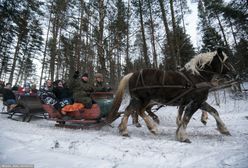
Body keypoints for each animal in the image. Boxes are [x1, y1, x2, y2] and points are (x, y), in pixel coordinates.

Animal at [107, 48, 235, 143]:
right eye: (226, 60)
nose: (234, 73)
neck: (197, 77)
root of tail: (133, 74)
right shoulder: (195, 102)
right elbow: (186, 118)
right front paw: (183, 136)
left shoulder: (199, 101)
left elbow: (213, 111)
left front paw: (224, 129)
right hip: (142, 99)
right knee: (136, 110)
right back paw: (147, 128)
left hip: (140, 99)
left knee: (132, 110)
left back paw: (130, 130)